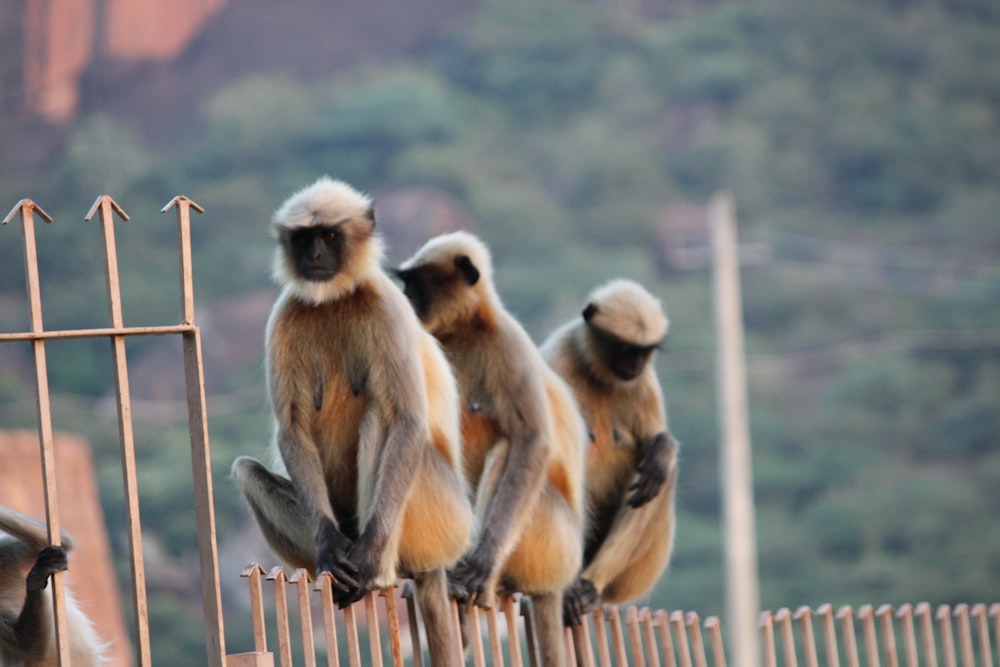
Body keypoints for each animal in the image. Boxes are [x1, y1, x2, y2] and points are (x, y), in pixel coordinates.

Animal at [232, 175, 474, 664]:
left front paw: (367, 561)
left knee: (383, 415)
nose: (314, 257)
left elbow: (408, 421)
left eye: (329, 236)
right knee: (248, 472)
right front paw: (328, 549)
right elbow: (293, 427)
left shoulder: (388, 307)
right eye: (304, 238)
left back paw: (375, 569)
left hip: (440, 518)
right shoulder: (287, 313)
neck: (334, 300)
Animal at [396, 231, 588, 667]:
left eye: (416, 284)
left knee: (508, 449)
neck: (464, 329)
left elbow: (531, 440)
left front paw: (481, 564)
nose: (406, 298)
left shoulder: (508, 341)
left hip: (551, 537)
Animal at [540, 280, 680, 628]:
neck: (598, 373)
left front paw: (664, 448)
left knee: (661, 476)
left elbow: (655, 447)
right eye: (627, 349)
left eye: (644, 351)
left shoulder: (643, 383)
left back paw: (590, 586)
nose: (635, 364)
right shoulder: (560, 357)